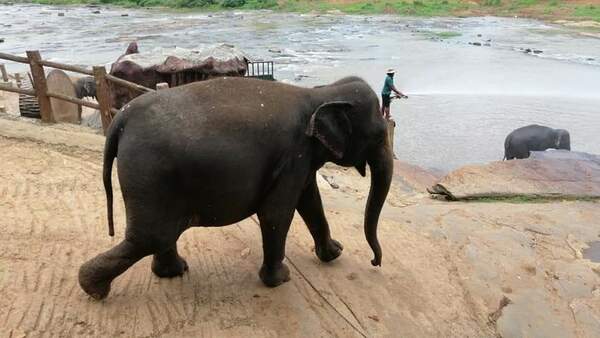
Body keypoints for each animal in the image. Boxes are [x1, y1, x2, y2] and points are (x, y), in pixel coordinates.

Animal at [77, 76, 394, 298]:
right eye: (379, 135)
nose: (375, 262)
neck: (320, 93)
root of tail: (120, 119)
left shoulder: (299, 160)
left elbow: (310, 202)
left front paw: (334, 253)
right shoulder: (294, 154)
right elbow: (277, 213)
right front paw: (281, 279)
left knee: (160, 234)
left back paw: (173, 272)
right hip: (149, 174)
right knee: (150, 237)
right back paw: (94, 289)